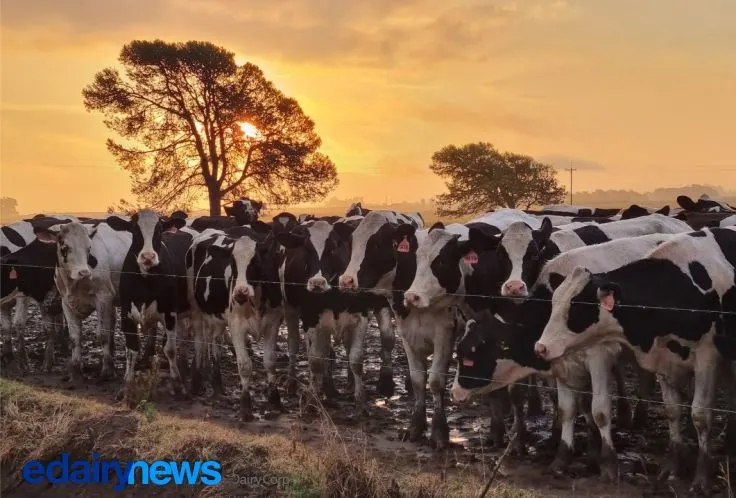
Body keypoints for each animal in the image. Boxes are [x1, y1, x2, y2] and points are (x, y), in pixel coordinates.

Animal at [107, 210, 193, 400]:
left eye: (159, 230)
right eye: (133, 229)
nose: (148, 257)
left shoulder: (169, 313)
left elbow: (170, 349)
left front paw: (177, 383)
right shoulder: (127, 313)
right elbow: (131, 350)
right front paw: (126, 385)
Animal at [448, 235, 672, 480]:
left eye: (468, 359)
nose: (454, 393)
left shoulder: (599, 359)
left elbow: (599, 409)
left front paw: (606, 462)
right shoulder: (563, 366)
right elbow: (570, 409)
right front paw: (569, 456)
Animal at [532, 228, 736, 492]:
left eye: (576, 307)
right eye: (553, 304)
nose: (541, 347)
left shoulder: (707, 358)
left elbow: (700, 415)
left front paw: (701, 478)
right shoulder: (663, 361)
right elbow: (672, 411)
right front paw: (673, 467)